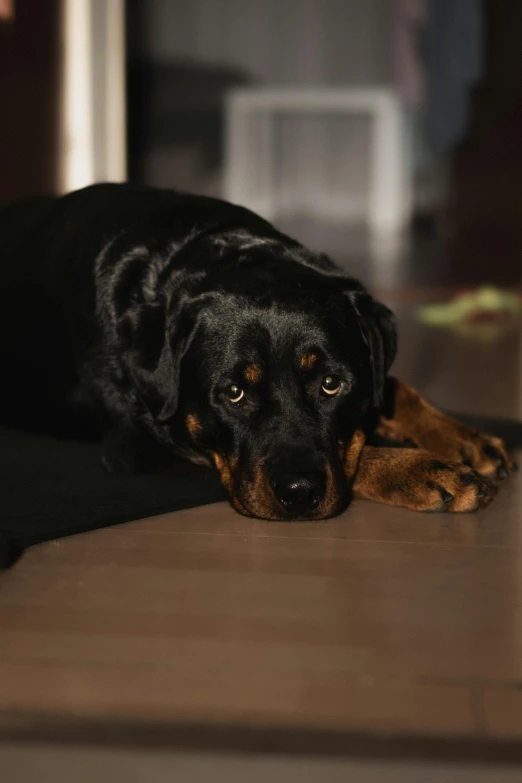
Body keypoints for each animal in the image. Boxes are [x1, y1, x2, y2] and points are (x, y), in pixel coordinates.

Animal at [0, 184, 512, 520]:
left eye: (331, 384)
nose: (299, 493)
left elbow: (391, 387)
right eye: (233, 393)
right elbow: (358, 456)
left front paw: (462, 437)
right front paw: (424, 469)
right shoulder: (137, 445)